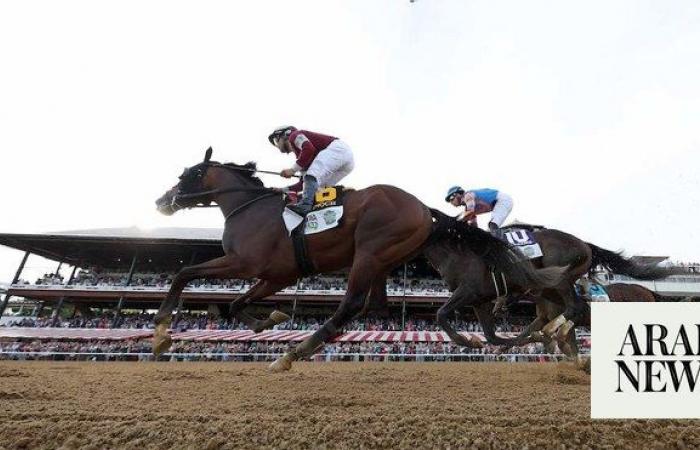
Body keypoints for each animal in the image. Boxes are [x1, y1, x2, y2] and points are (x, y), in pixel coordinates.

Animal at [152, 149, 564, 370]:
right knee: (375, 306)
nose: (162, 200)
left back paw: (295, 352)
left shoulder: (243, 263)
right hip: (381, 259)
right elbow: (238, 303)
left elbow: (184, 273)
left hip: (368, 251)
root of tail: (421, 207)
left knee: (351, 305)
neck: (248, 208)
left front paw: (161, 329)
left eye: (188, 174)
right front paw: (269, 319)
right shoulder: (276, 275)